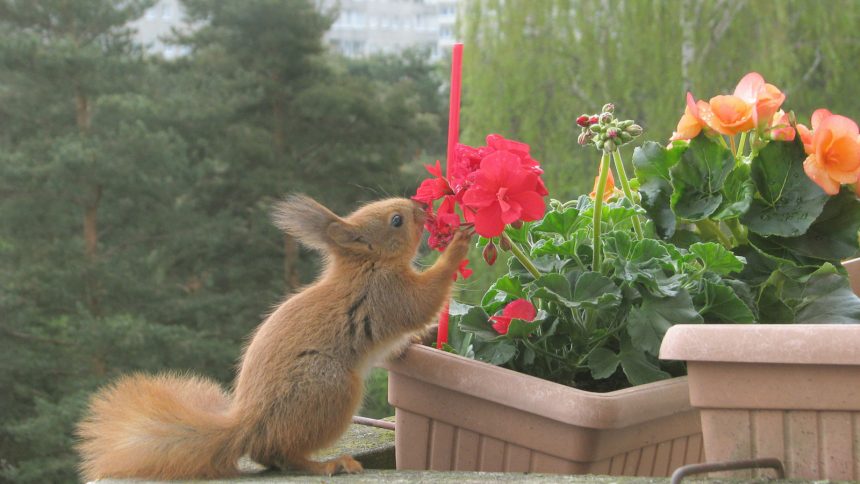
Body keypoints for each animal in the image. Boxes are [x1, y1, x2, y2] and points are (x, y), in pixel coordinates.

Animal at [78, 196, 470, 480]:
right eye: (396, 220)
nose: (421, 207)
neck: (367, 265)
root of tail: (248, 425)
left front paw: (417, 341)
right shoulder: (387, 295)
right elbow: (423, 302)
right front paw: (458, 246)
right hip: (331, 388)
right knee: (281, 454)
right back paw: (328, 464)